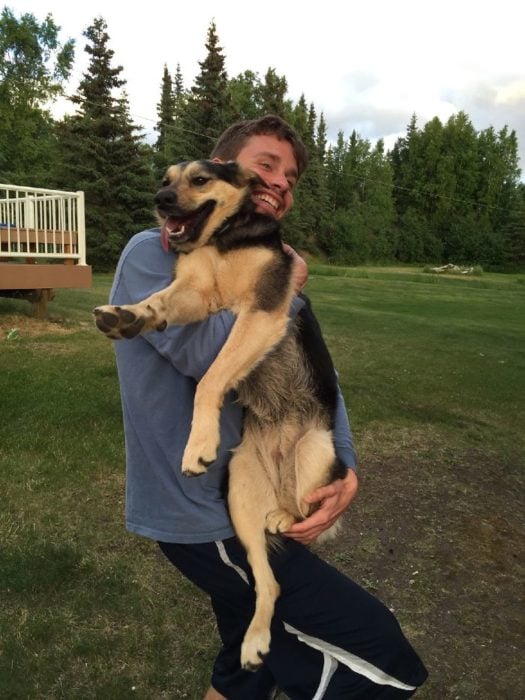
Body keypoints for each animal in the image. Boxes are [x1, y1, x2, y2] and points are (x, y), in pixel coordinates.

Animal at [94, 161, 348, 668]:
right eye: (166, 178)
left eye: (199, 179)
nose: (160, 200)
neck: (222, 238)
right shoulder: (196, 293)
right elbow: (157, 301)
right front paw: (129, 315)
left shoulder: (262, 311)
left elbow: (211, 378)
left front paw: (199, 444)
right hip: (239, 496)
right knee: (269, 583)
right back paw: (254, 641)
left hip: (310, 452)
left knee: (301, 511)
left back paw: (285, 517)